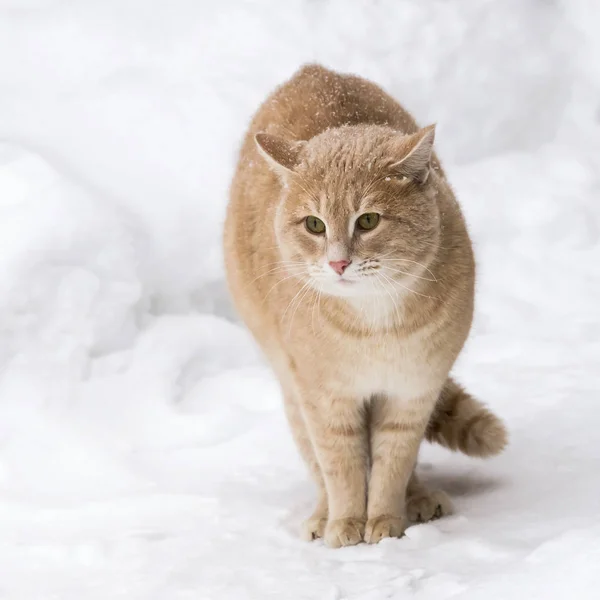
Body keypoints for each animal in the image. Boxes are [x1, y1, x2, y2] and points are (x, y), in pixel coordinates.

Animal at [224, 64, 506, 548]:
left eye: (369, 220)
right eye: (314, 225)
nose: (338, 262)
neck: (375, 325)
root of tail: (312, 70)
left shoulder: (412, 392)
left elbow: (393, 465)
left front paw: (386, 521)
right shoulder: (325, 401)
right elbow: (341, 468)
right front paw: (345, 523)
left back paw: (418, 498)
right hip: (291, 385)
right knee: (316, 462)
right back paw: (323, 515)